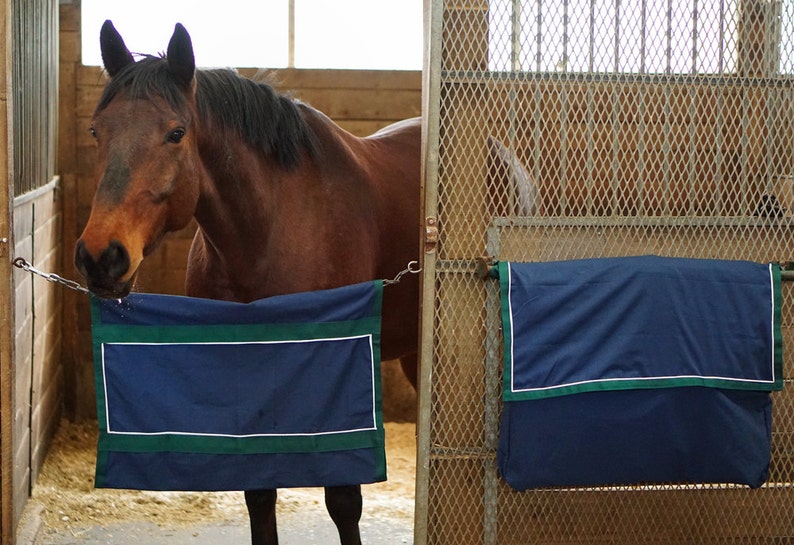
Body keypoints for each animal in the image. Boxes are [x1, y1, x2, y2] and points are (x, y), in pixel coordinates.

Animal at [74, 21, 420, 545]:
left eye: (176, 133)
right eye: (97, 130)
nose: (101, 257)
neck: (269, 229)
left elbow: (343, 500)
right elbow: (258, 494)